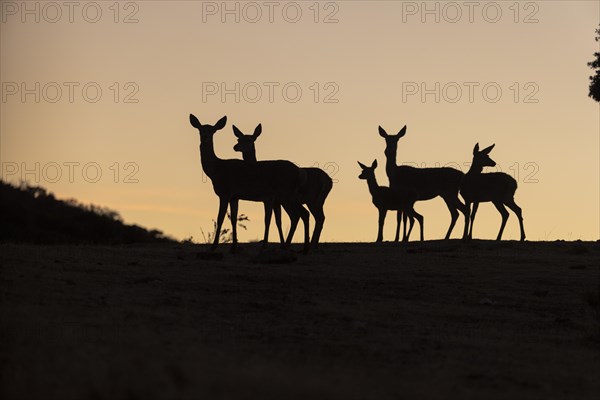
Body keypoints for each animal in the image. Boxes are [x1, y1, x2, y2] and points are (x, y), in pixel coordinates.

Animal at [189, 114, 310, 253]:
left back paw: (291, 247)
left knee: (298, 214)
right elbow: (234, 219)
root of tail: (301, 173)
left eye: (212, 131)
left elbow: (220, 218)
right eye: (200, 130)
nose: (205, 137)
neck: (217, 170)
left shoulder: (225, 193)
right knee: (303, 213)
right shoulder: (235, 196)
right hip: (289, 195)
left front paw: (213, 247)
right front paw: (234, 247)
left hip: (286, 194)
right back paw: (302, 248)